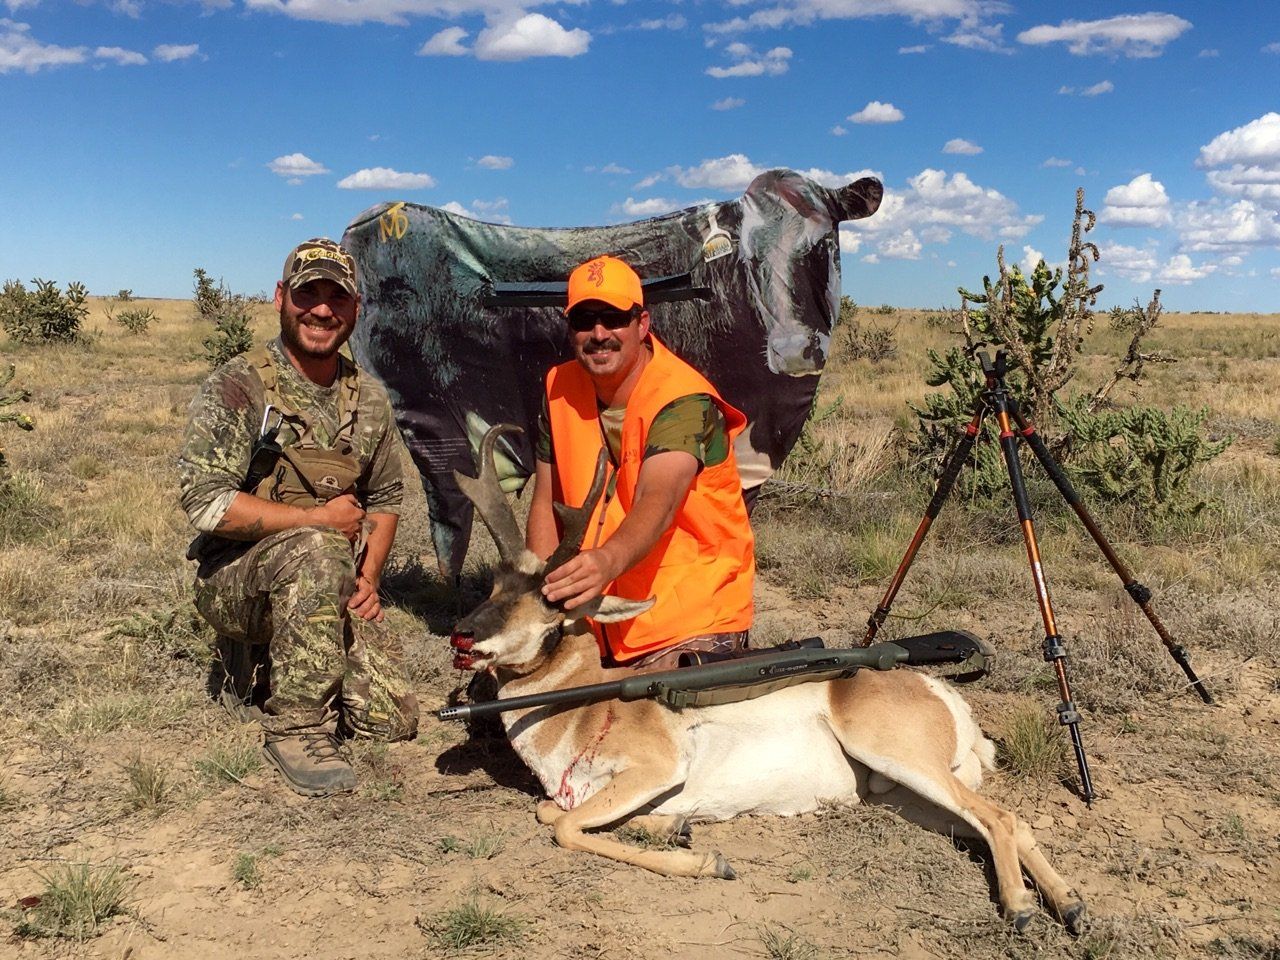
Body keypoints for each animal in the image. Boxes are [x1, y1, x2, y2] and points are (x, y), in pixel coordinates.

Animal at [446, 426, 1088, 933]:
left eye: (549, 606)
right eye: (495, 586)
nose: (463, 635)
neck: (585, 710)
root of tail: (943, 695)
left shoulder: (656, 769)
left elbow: (562, 826)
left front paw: (707, 861)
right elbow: (553, 813)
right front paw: (675, 828)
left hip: (902, 762)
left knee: (1000, 818)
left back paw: (1021, 908)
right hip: (905, 796)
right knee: (1008, 824)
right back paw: (1071, 905)